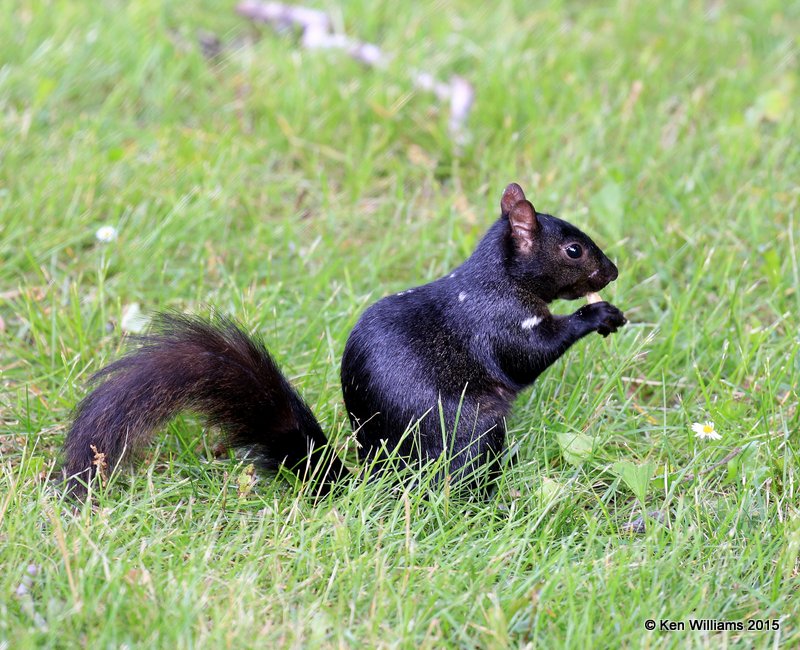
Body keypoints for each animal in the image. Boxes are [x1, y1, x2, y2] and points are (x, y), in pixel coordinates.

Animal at [62, 182, 624, 496]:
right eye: (574, 250)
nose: (613, 271)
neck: (497, 278)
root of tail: (384, 478)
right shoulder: (498, 322)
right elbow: (528, 357)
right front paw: (596, 315)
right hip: (474, 431)